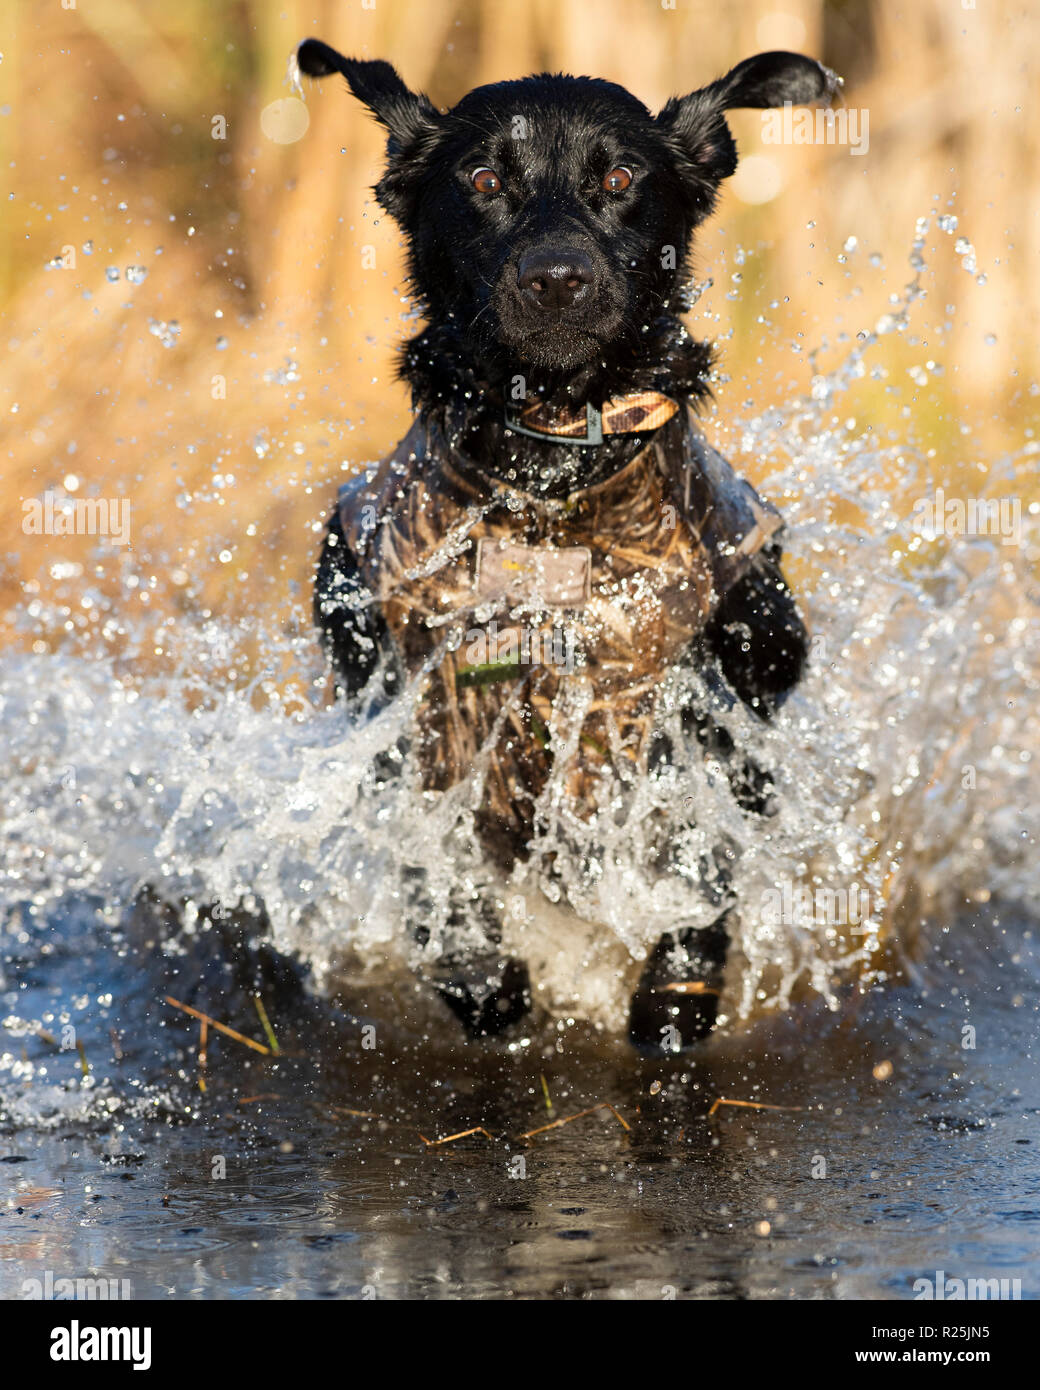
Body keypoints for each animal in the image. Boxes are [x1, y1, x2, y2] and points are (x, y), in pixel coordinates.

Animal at [303, 38, 828, 1045]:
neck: (553, 475)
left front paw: (675, 987)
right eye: (483, 180)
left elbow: (693, 875)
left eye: (619, 179)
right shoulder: (420, 701)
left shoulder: (700, 704)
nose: (555, 279)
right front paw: (478, 969)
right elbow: (447, 884)